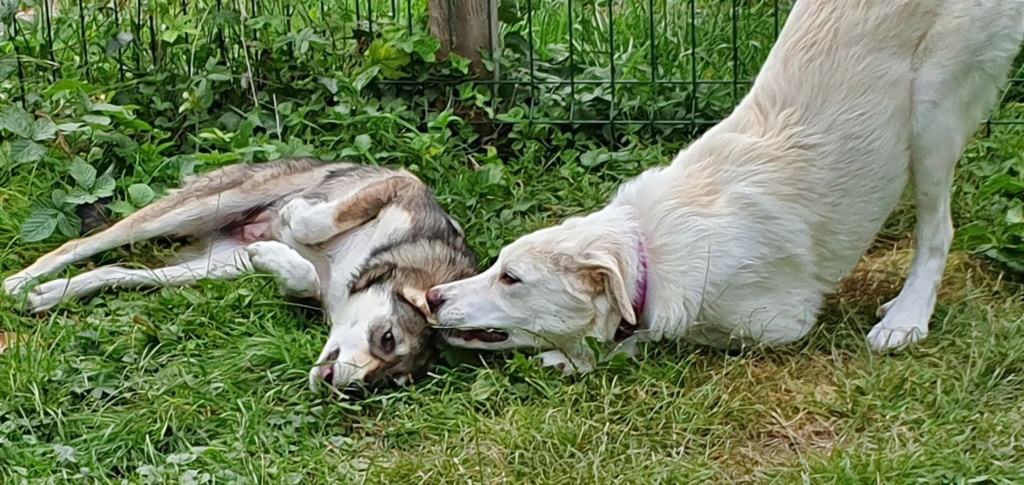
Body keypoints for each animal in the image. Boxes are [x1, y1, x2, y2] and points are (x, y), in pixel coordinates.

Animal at [3, 159, 475, 390]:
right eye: (388, 339)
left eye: (389, 381)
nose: (348, 388)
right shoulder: (403, 185)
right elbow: (312, 224)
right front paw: (293, 219)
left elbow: (303, 275)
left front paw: (278, 257)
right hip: (201, 205)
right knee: (85, 245)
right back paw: (20, 280)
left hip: (213, 268)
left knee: (120, 270)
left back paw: (48, 294)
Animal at [428, 0, 1024, 372]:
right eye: (495, 264)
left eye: (511, 279)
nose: (431, 297)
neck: (651, 254)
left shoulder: (780, 323)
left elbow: (658, 336)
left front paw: (581, 356)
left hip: (934, 116)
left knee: (938, 229)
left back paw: (906, 316)